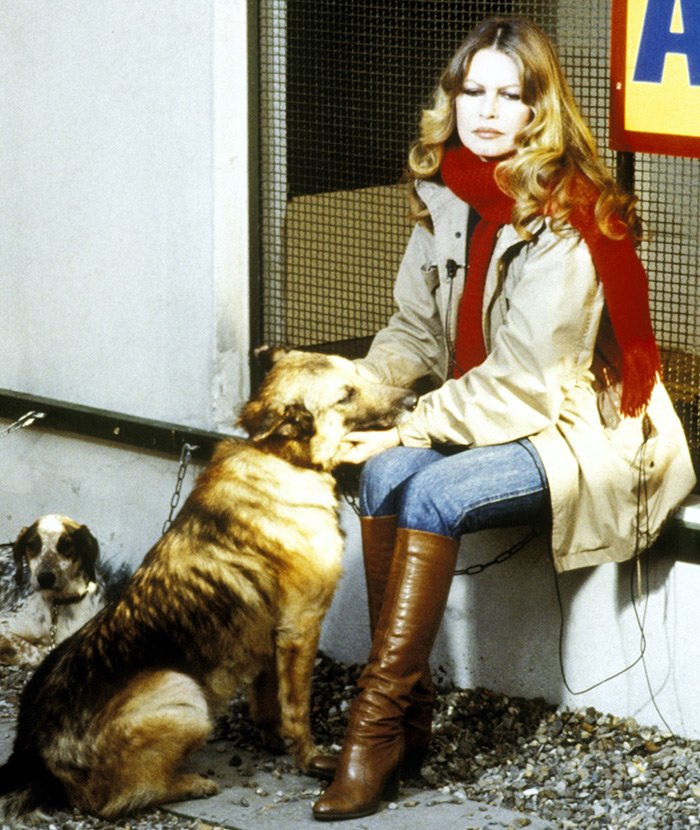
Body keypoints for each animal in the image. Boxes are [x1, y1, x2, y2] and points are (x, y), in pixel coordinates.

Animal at [0, 512, 105, 668]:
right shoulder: (5, 623)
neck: (57, 604)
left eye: (66, 544)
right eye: (32, 545)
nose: (45, 578)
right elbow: (35, 652)